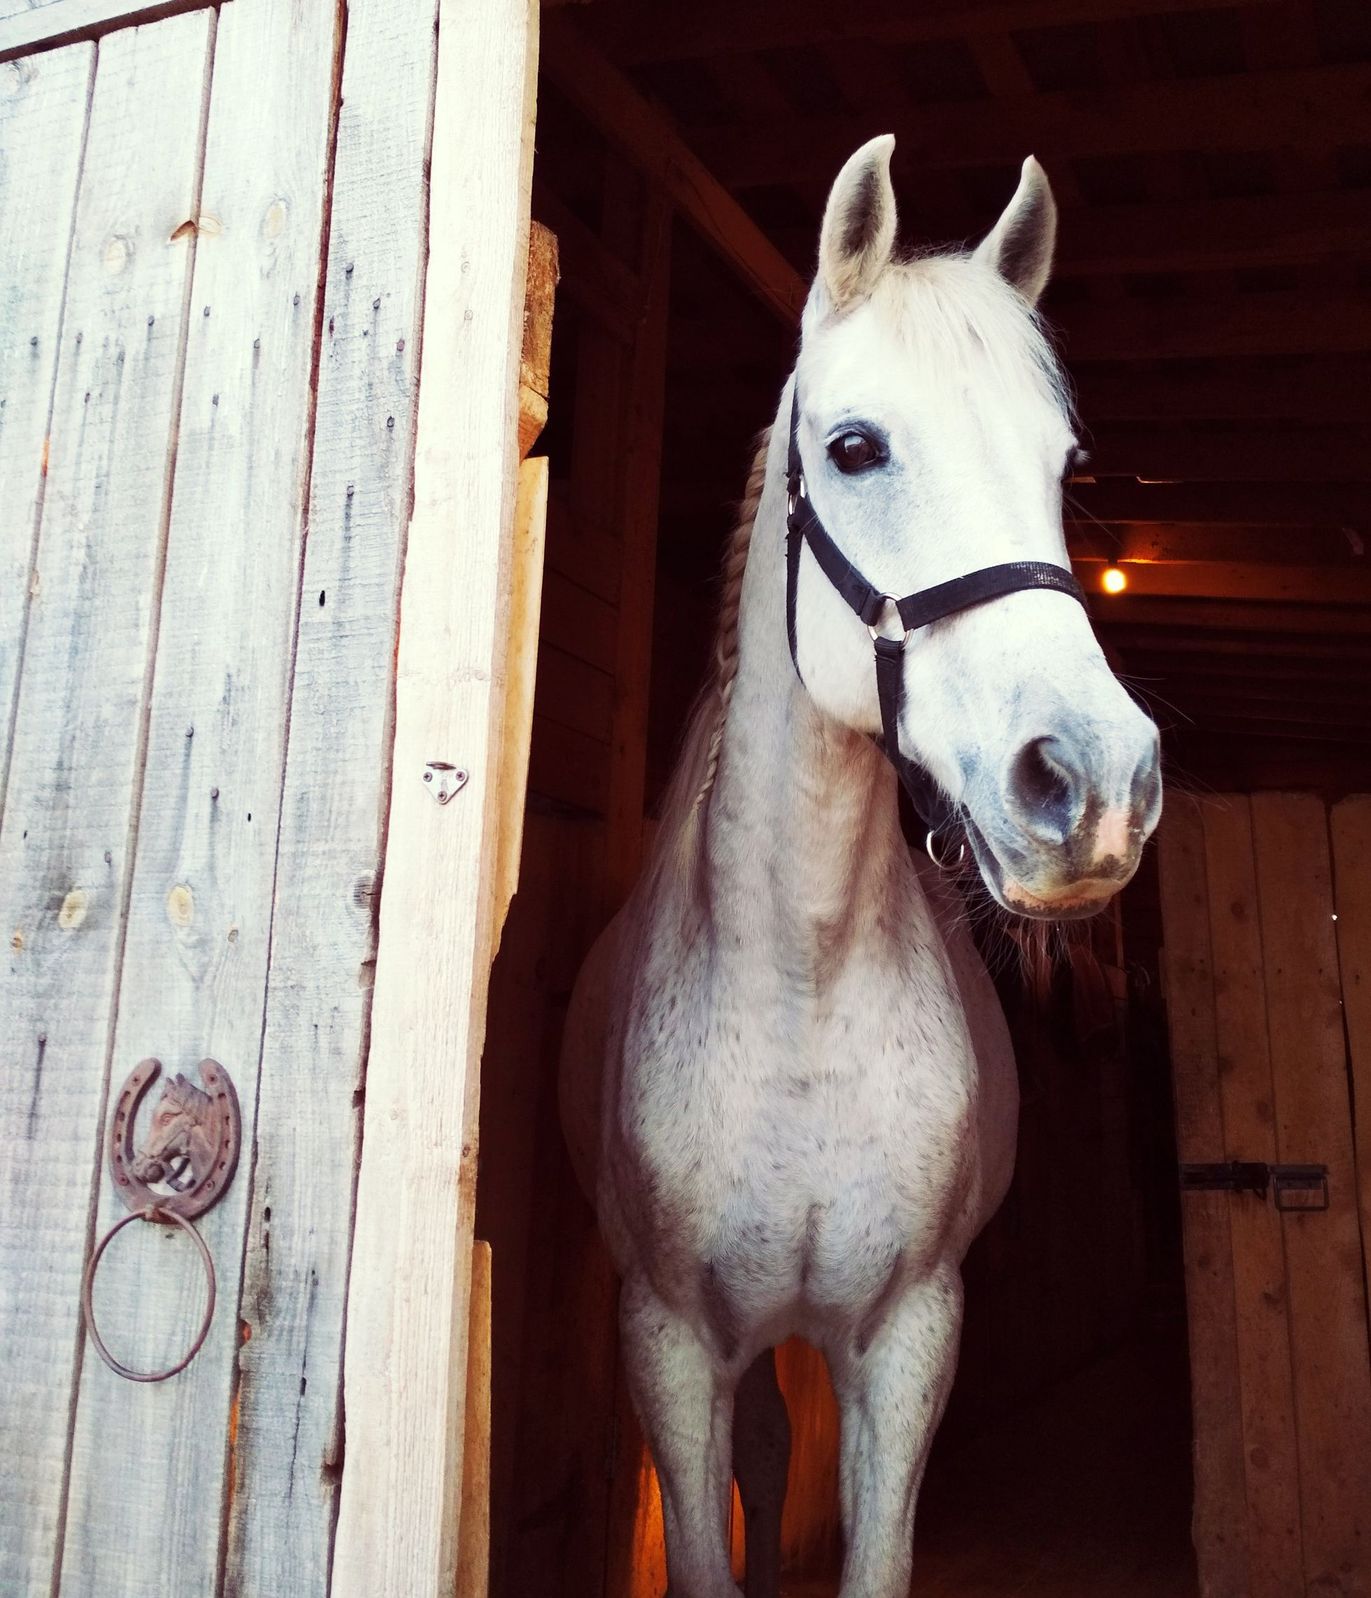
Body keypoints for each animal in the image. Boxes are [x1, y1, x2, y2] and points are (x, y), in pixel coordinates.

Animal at [559, 135, 1162, 1598]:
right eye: (853, 448)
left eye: (1063, 464)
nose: (1092, 783)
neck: (799, 982)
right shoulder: (668, 1345)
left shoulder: (906, 1339)